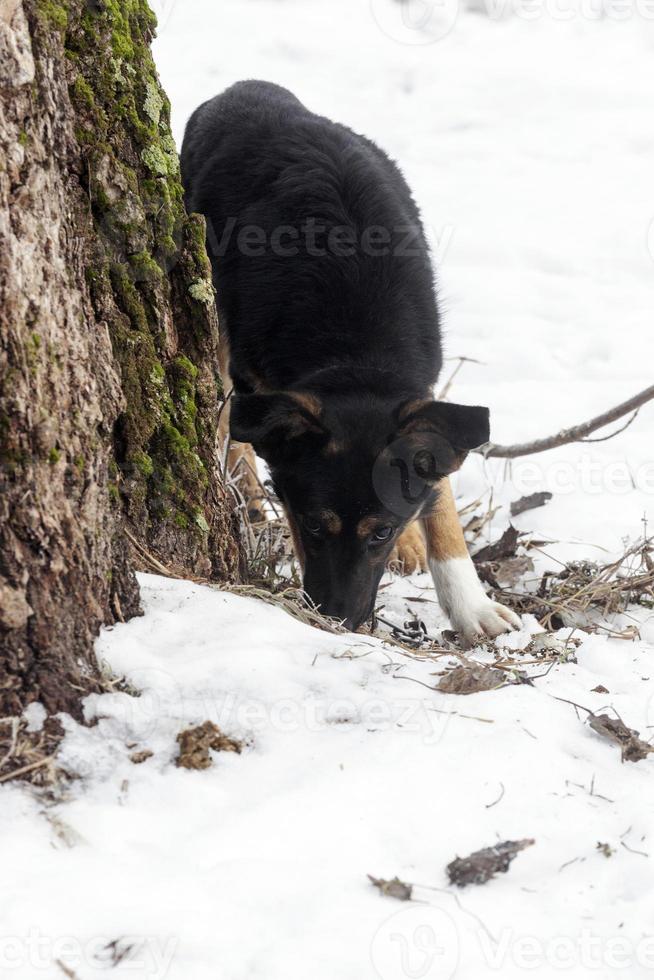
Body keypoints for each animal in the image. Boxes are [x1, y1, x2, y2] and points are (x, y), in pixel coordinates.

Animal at [182, 80, 520, 640]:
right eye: (312, 525)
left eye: (380, 532)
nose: (338, 620)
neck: (357, 352)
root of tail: (249, 87)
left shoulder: (420, 392)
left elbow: (441, 496)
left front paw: (471, 604)